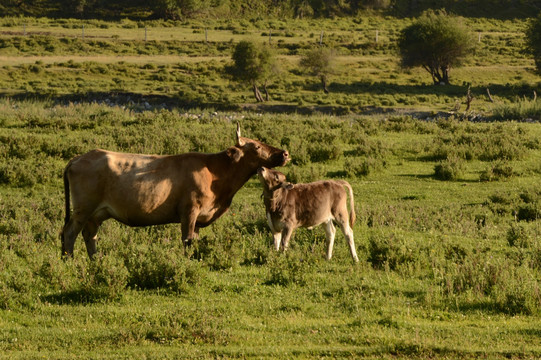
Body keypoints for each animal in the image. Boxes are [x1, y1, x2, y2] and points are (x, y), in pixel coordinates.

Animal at [61, 124, 288, 258]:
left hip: (96, 213)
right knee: (69, 233)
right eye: (256, 147)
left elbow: (194, 241)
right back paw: (69, 261)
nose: (285, 153)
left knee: (90, 235)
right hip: (83, 209)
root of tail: (79, 157)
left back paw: (95, 261)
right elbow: (187, 240)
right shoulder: (189, 211)